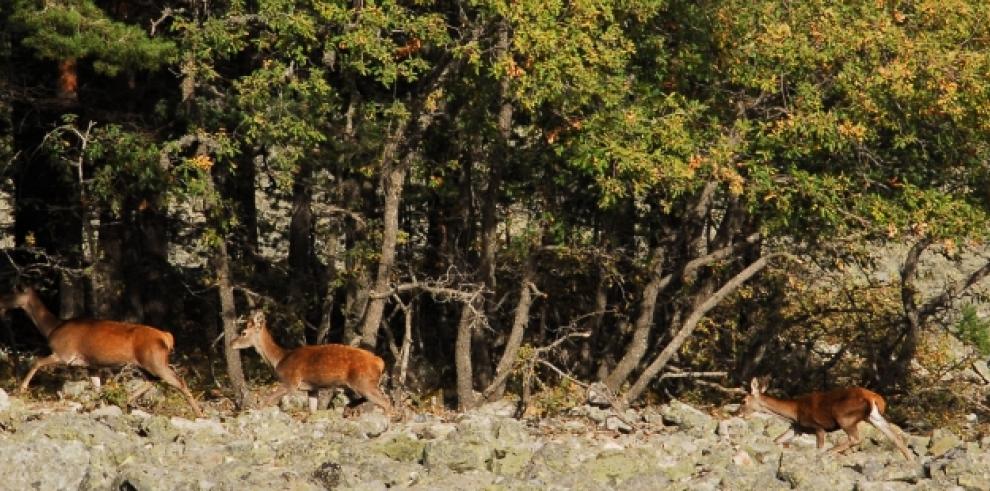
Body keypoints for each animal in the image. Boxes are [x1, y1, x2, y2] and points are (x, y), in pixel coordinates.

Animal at [0, 286, 203, 418]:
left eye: (11, 293)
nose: (1, 304)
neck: (52, 328)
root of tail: (166, 337)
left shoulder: (64, 354)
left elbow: (36, 362)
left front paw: (21, 389)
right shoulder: (92, 365)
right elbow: (96, 387)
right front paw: (98, 405)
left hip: (155, 360)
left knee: (179, 381)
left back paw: (199, 413)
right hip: (148, 363)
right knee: (153, 380)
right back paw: (127, 399)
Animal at [232, 312, 392, 416]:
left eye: (243, 332)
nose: (231, 343)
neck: (280, 359)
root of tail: (379, 362)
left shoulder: (291, 381)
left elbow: (265, 400)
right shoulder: (312, 388)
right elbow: (312, 410)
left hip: (364, 382)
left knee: (386, 403)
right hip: (364, 384)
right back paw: (348, 408)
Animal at [740, 380, 920, 462]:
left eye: (743, 400)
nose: (738, 413)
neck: (794, 412)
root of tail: (875, 398)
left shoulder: (818, 427)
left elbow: (819, 446)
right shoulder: (797, 428)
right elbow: (777, 439)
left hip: (845, 416)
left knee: (855, 438)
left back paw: (831, 452)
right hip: (874, 417)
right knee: (895, 437)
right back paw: (911, 461)